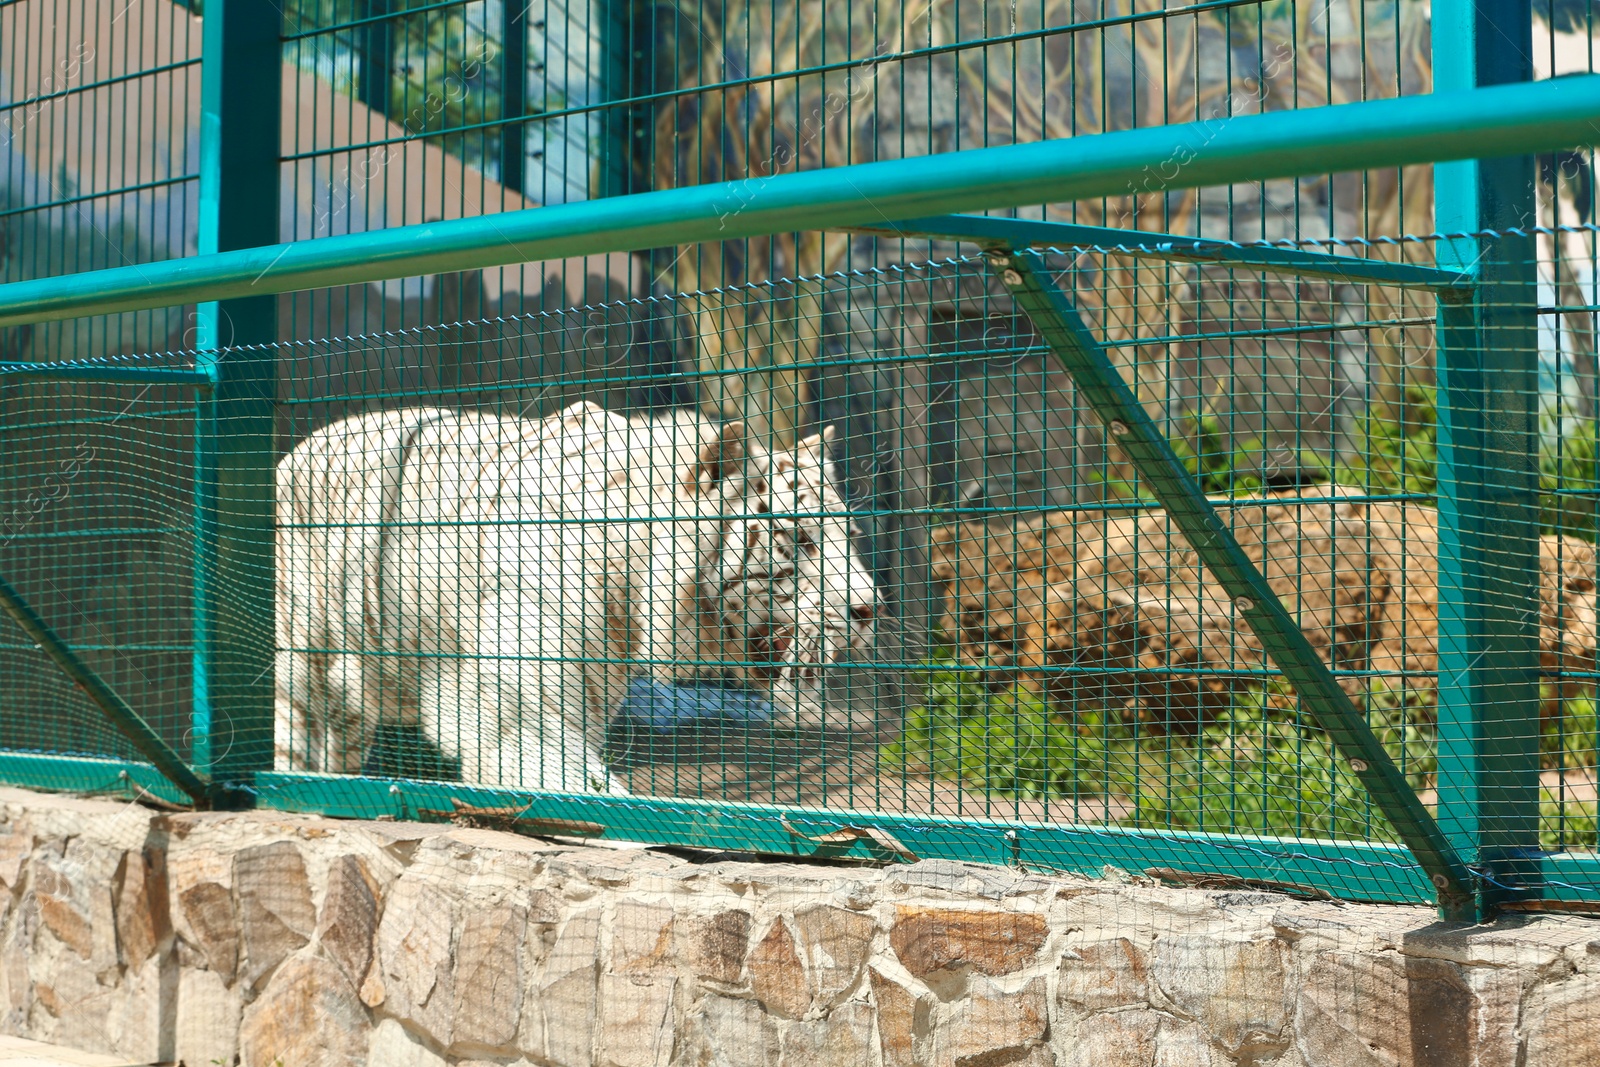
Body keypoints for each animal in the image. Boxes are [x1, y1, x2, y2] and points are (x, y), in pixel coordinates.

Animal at [272, 399, 876, 793]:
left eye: (849, 534)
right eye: (801, 539)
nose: (871, 609)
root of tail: (300, 447)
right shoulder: (516, 707)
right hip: (299, 663)